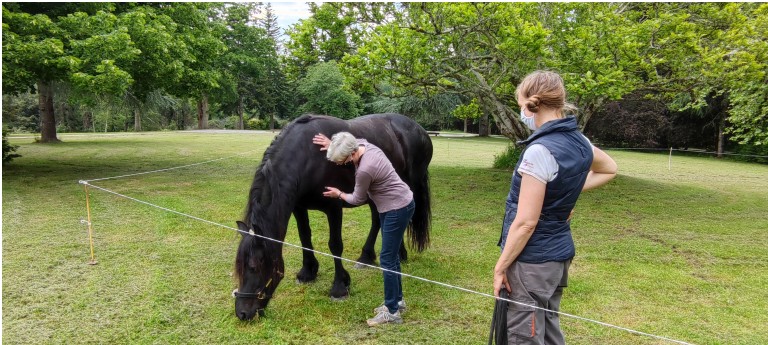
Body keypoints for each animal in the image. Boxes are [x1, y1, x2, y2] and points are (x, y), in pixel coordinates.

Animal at [234, 113, 432, 320]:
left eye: (254, 267)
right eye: (238, 267)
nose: (242, 313)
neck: (307, 157)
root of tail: (419, 130)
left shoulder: (334, 208)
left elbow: (335, 245)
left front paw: (339, 287)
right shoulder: (299, 207)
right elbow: (305, 237)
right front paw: (308, 272)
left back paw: (399, 254)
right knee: (378, 220)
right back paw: (367, 257)